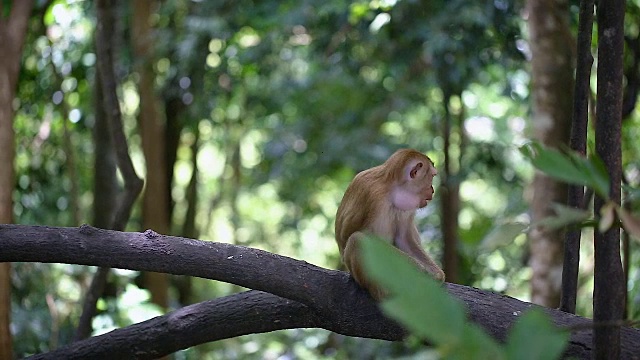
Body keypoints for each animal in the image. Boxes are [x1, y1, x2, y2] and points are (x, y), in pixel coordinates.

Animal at [336, 148, 444, 300]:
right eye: (432, 176)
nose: (432, 190)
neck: (392, 188)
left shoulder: (406, 207)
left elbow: (404, 238)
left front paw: (436, 274)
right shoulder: (374, 197)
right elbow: (371, 239)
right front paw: (420, 271)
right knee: (357, 240)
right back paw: (383, 292)